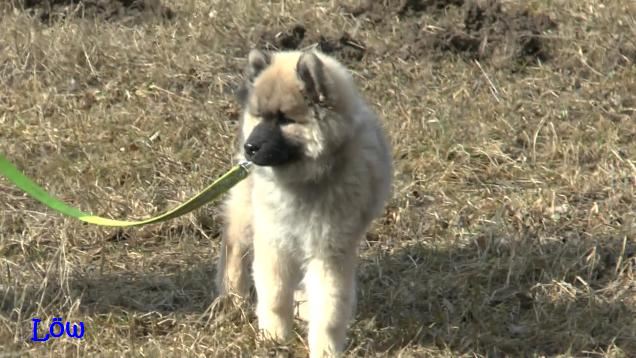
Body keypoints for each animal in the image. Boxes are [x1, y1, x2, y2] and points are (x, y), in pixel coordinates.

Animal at [217, 48, 392, 358]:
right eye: (260, 116)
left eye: (285, 119)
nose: (250, 147)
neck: (305, 181)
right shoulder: (273, 241)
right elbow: (275, 295)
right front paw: (273, 338)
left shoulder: (329, 251)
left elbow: (329, 309)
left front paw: (325, 349)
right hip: (247, 213)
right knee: (235, 246)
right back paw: (233, 296)